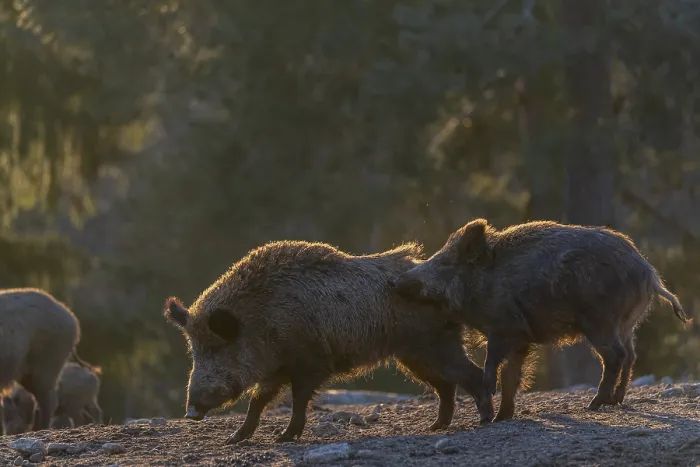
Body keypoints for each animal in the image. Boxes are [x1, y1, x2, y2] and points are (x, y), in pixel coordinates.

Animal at [0, 288, 90, 429]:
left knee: (48, 399)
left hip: (47, 362)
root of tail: (72, 318)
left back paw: (42, 428)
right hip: (28, 372)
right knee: (39, 399)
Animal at [164, 240, 494, 444]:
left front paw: (285, 437)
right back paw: (435, 427)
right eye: (194, 350)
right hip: (412, 356)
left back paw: (485, 420)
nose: (191, 413)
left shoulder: (310, 363)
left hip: (435, 345)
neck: (263, 317)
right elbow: (258, 401)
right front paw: (234, 439)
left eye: (217, 347)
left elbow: (298, 399)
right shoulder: (276, 369)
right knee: (446, 385)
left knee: (471, 374)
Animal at [390, 218, 690, 421]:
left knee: (616, 356)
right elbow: (511, 375)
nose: (397, 282)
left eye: (444, 264)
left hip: (599, 320)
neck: (485, 285)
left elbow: (493, 365)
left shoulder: (503, 328)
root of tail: (649, 274)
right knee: (630, 355)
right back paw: (615, 400)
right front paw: (502, 418)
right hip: (626, 324)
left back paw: (594, 404)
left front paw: (489, 405)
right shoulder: (520, 338)